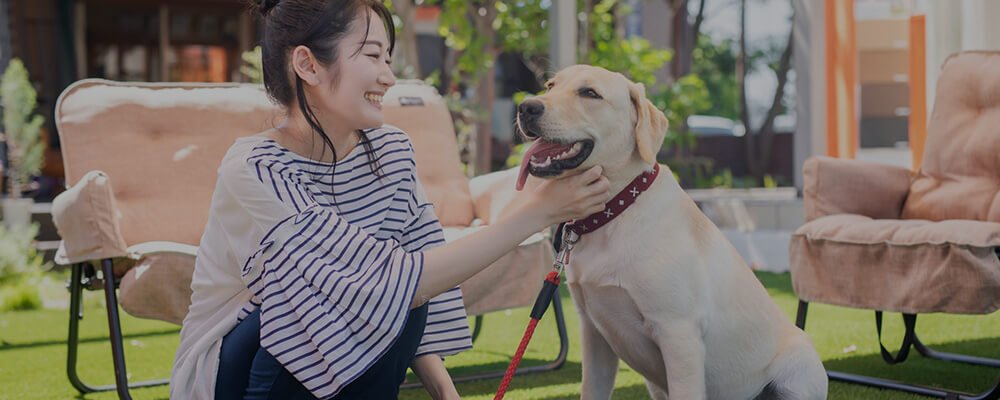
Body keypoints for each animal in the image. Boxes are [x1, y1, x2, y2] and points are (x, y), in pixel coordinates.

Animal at [512, 64, 824, 398]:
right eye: (550, 85)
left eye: (590, 93)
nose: (526, 107)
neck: (617, 210)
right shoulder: (594, 334)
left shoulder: (679, 334)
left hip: (799, 370)